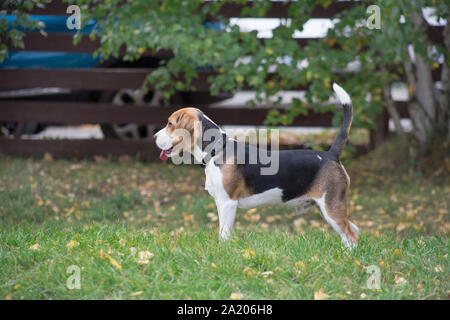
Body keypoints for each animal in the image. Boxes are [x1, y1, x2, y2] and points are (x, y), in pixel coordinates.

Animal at [155, 84, 358, 249]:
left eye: (170, 124)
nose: (154, 137)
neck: (217, 149)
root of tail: (330, 154)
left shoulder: (228, 203)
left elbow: (224, 235)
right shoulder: (220, 203)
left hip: (331, 206)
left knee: (351, 236)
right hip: (328, 207)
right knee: (353, 230)